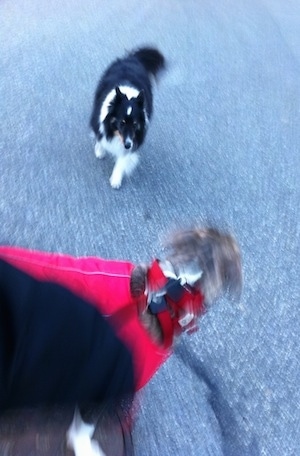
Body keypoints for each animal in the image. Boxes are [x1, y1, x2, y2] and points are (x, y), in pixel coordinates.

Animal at [89, 46, 165, 189]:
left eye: (135, 124)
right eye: (122, 122)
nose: (128, 144)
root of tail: (132, 58)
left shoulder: (135, 137)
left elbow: (123, 158)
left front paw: (115, 179)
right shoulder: (98, 121)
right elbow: (100, 137)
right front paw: (100, 151)